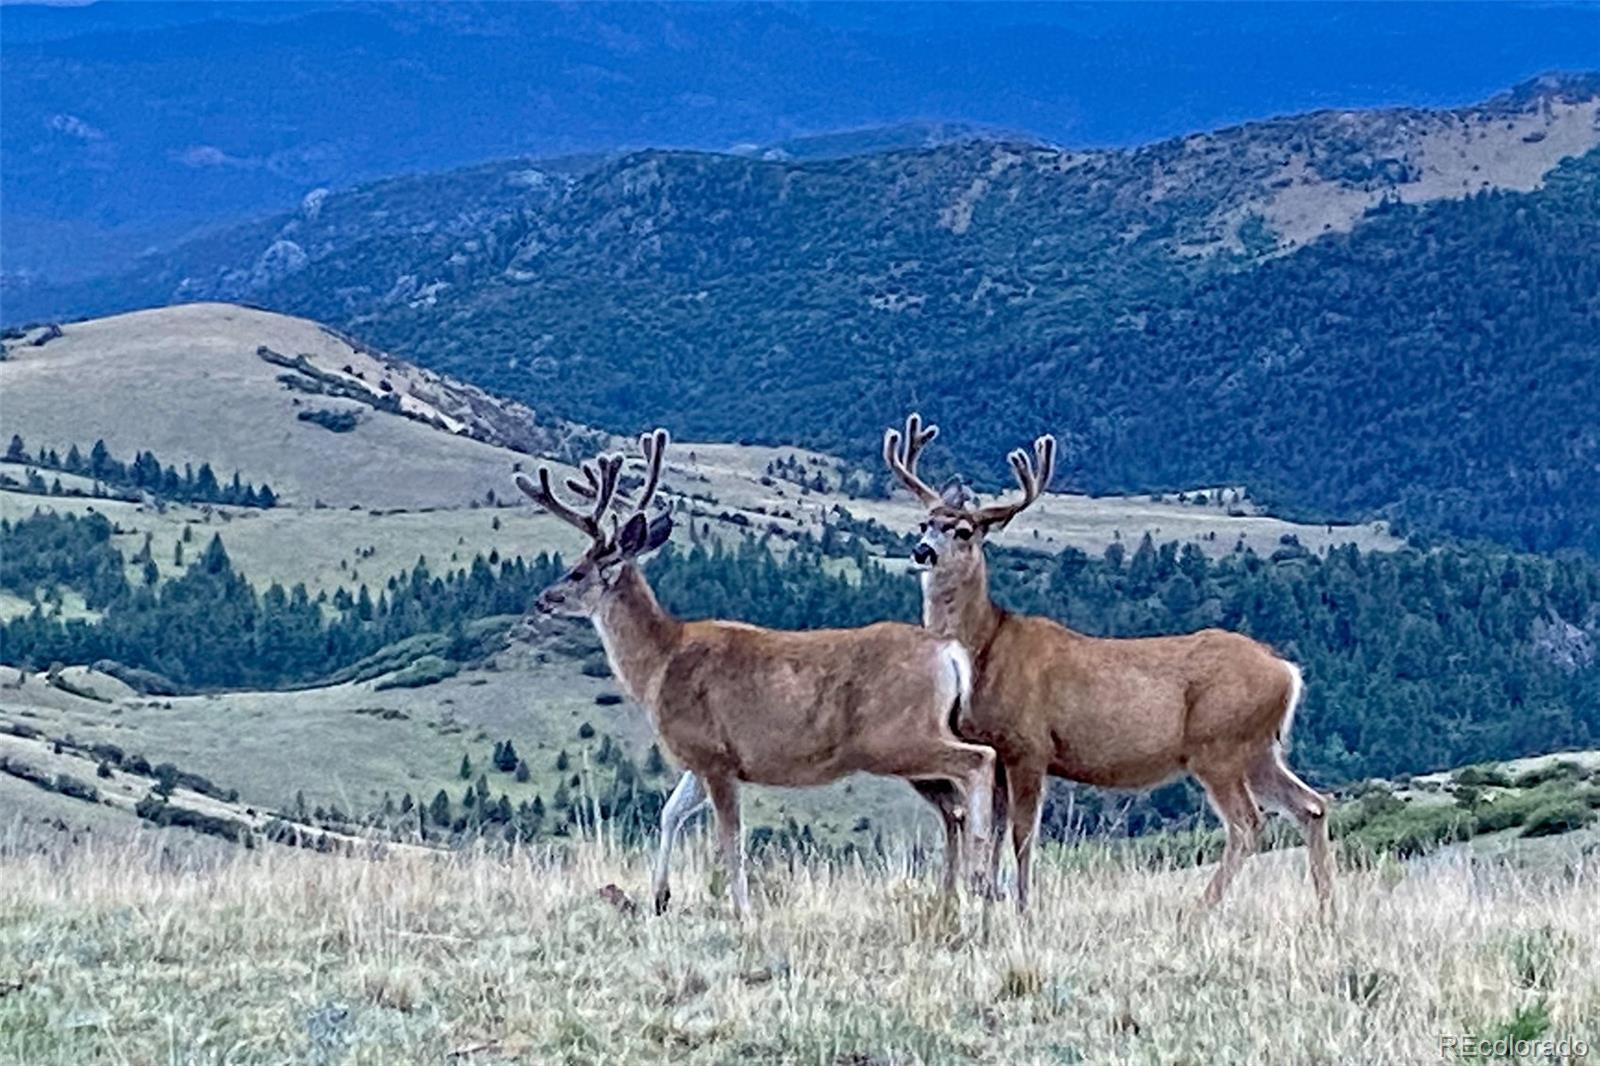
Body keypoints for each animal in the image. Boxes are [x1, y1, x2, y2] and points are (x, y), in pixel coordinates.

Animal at [518, 425, 992, 915]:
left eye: (578, 571)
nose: (542, 598)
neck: (659, 663)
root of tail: (949, 651)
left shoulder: (715, 754)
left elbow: (731, 838)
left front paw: (742, 909)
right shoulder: (701, 758)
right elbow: (670, 812)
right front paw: (660, 896)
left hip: (896, 736)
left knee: (980, 762)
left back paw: (980, 880)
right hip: (914, 746)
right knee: (956, 802)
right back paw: (960, 891)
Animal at [883, 409, 1331, 909]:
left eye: (962, 531)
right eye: (924, 523)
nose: (923, 551)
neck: (985, 651)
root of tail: (1287, 671)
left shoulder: (1029, 745)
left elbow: (1022, 834)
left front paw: (1023, 905)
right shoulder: (995, 752)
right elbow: (994, 831)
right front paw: (989, 896)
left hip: (1220, 742)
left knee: (1248, 822)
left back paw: (1200, 909)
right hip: (1258, 747)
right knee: (1311, 805)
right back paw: (1324, 909)